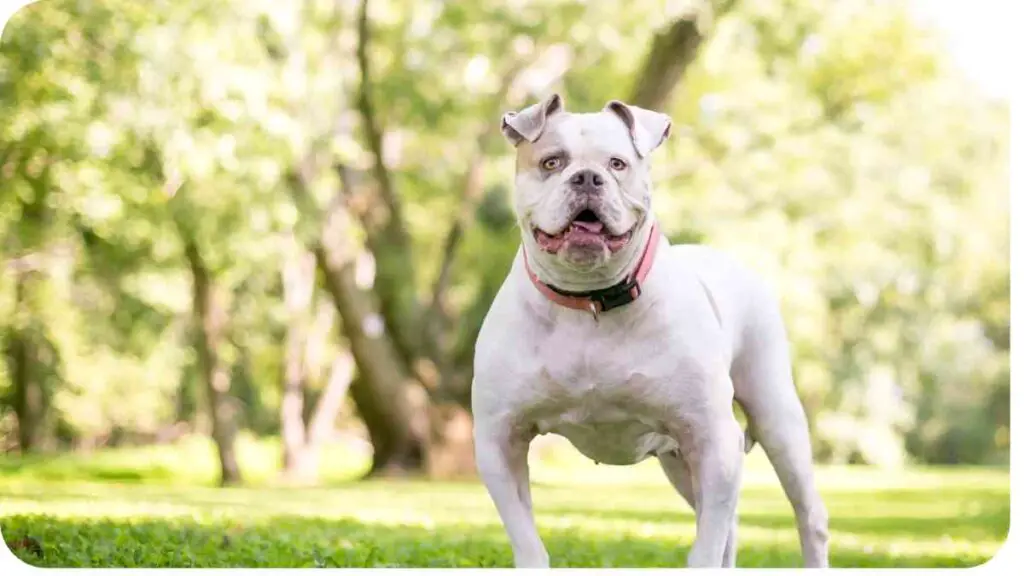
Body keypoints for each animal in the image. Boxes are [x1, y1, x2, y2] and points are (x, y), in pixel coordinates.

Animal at [471, 93, 831, 565]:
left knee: (806, 515)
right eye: (552, 162)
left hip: (776, 419)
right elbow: (527, 540)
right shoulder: (500, 441)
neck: (589, 301)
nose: (588, 178)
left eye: (618, 164)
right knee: (728, 523)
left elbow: (704, 550)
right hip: (681, 462)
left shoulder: (713, 439)